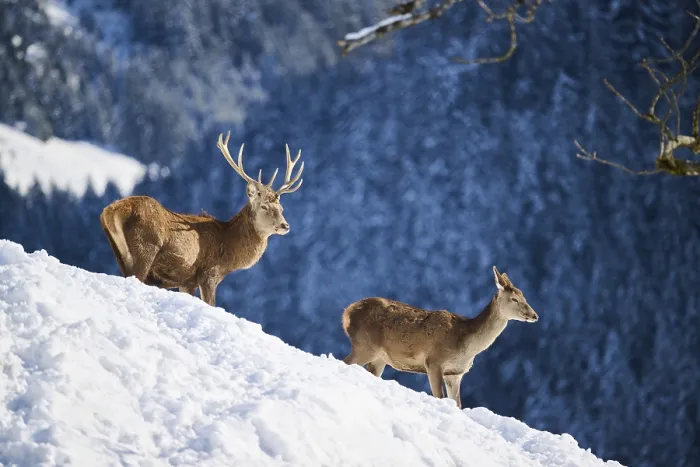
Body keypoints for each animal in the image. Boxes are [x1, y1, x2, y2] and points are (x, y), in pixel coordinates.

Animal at [99, 131, 304, 307]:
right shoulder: (208, 274)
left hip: (120, 254)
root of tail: (111, 211)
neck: (229, 250)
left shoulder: (187, 282)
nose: (285, 225)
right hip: (145, 247)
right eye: (264, 206)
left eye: (281, 208)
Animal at [341, 266, 538, 409]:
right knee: (345, 361)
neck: (466, 344)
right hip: (365, 345)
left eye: (524, 296)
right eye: (514, 299)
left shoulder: (455, 373)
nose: (535, 315)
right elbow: (440, 397)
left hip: (379, 358)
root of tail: (347, 313)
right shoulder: (434, 361)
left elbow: (457, 405)